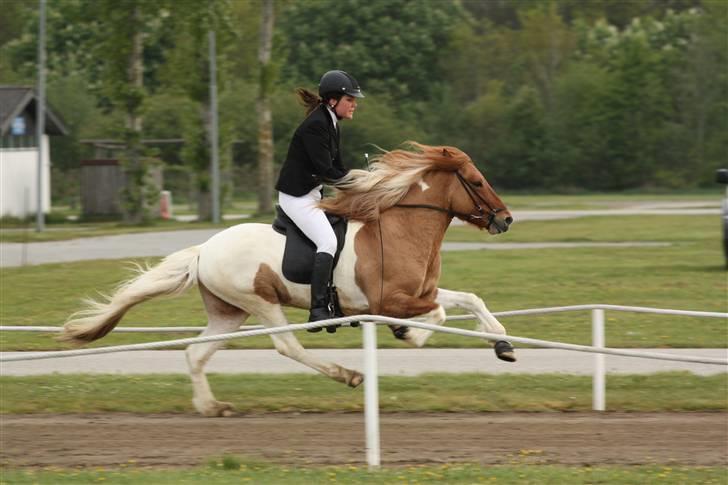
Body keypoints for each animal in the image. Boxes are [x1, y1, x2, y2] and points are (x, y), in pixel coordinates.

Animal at [64, 141, 516, 416]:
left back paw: (212, 407)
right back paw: (347, 374)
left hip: (229, 313)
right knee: (287, 346)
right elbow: (438, 315)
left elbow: (468, 299)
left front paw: (503, 344)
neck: (402, 227)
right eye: (477, 181)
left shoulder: (420, 292)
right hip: (260, 301)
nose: (506, 219)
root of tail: (205, 248)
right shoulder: (390, 302)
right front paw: (410, 335)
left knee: (196, 353)